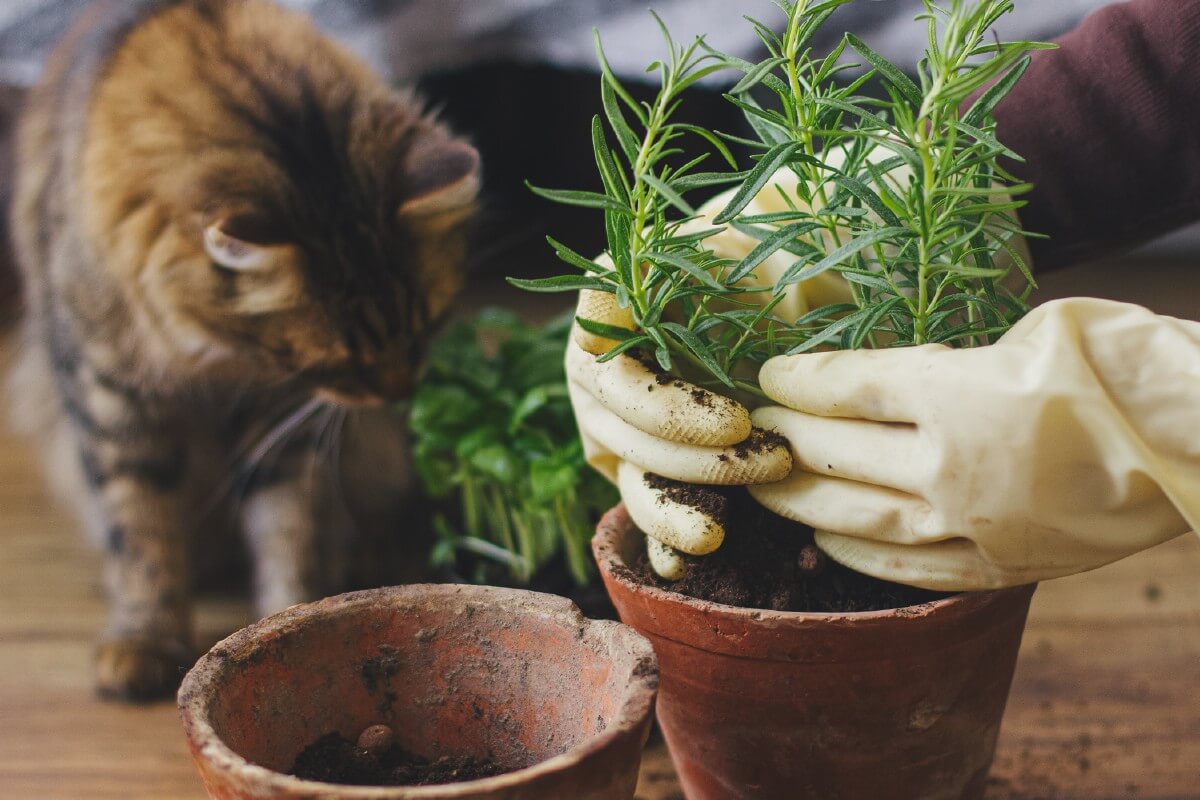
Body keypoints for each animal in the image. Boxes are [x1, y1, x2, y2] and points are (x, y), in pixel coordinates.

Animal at [7, 0, 482, 700]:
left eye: (426, 325)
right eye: (340, 360)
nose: (397, 392)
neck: (220, 357)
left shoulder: (277, 418)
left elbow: (285, 527)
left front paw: (290, 612)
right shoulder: (112, 397)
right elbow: (141, 528)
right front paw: (143, 640)